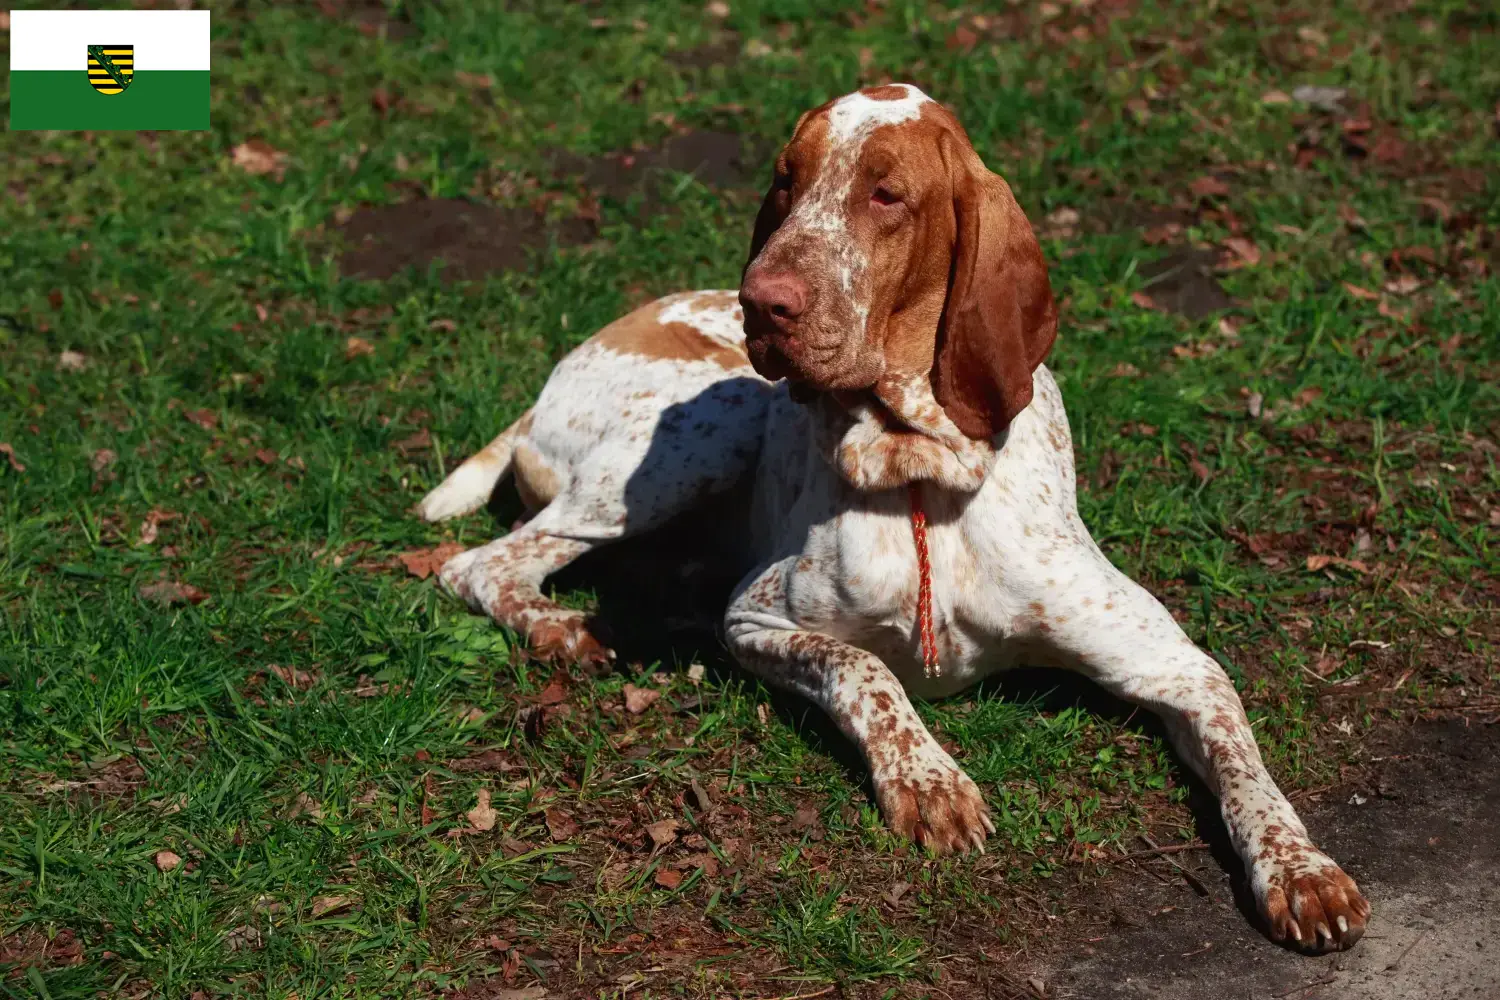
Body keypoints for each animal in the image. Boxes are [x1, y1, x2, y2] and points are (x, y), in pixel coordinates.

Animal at [420, 86, 1374, 953]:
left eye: (885, 194)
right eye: (786, 182)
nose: (760, 302)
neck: (923, 471)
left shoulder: (1174, 662)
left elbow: (1245, 766)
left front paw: (1303, 870)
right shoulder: (757, 618)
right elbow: (865, 672)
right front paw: (931, 781)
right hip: (697, 440)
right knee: (480, 563)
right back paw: (559, 629)